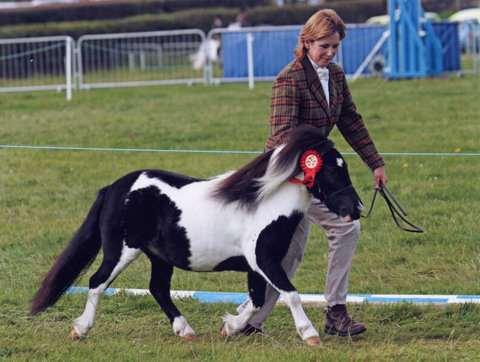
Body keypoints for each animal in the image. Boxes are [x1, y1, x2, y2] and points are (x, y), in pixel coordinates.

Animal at [30, 126, 360, 346]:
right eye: (333, 170)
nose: (355, 209)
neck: (264, 205)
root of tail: (113, 188)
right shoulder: (265, 261)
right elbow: (290, 294)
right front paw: (310, 335)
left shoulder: (256, 267)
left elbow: (256, 300)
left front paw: (230, 327)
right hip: (121, 251)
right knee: (97, 282)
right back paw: (80, 330)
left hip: (159, 257)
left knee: (158, 289)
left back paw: (185, 331)